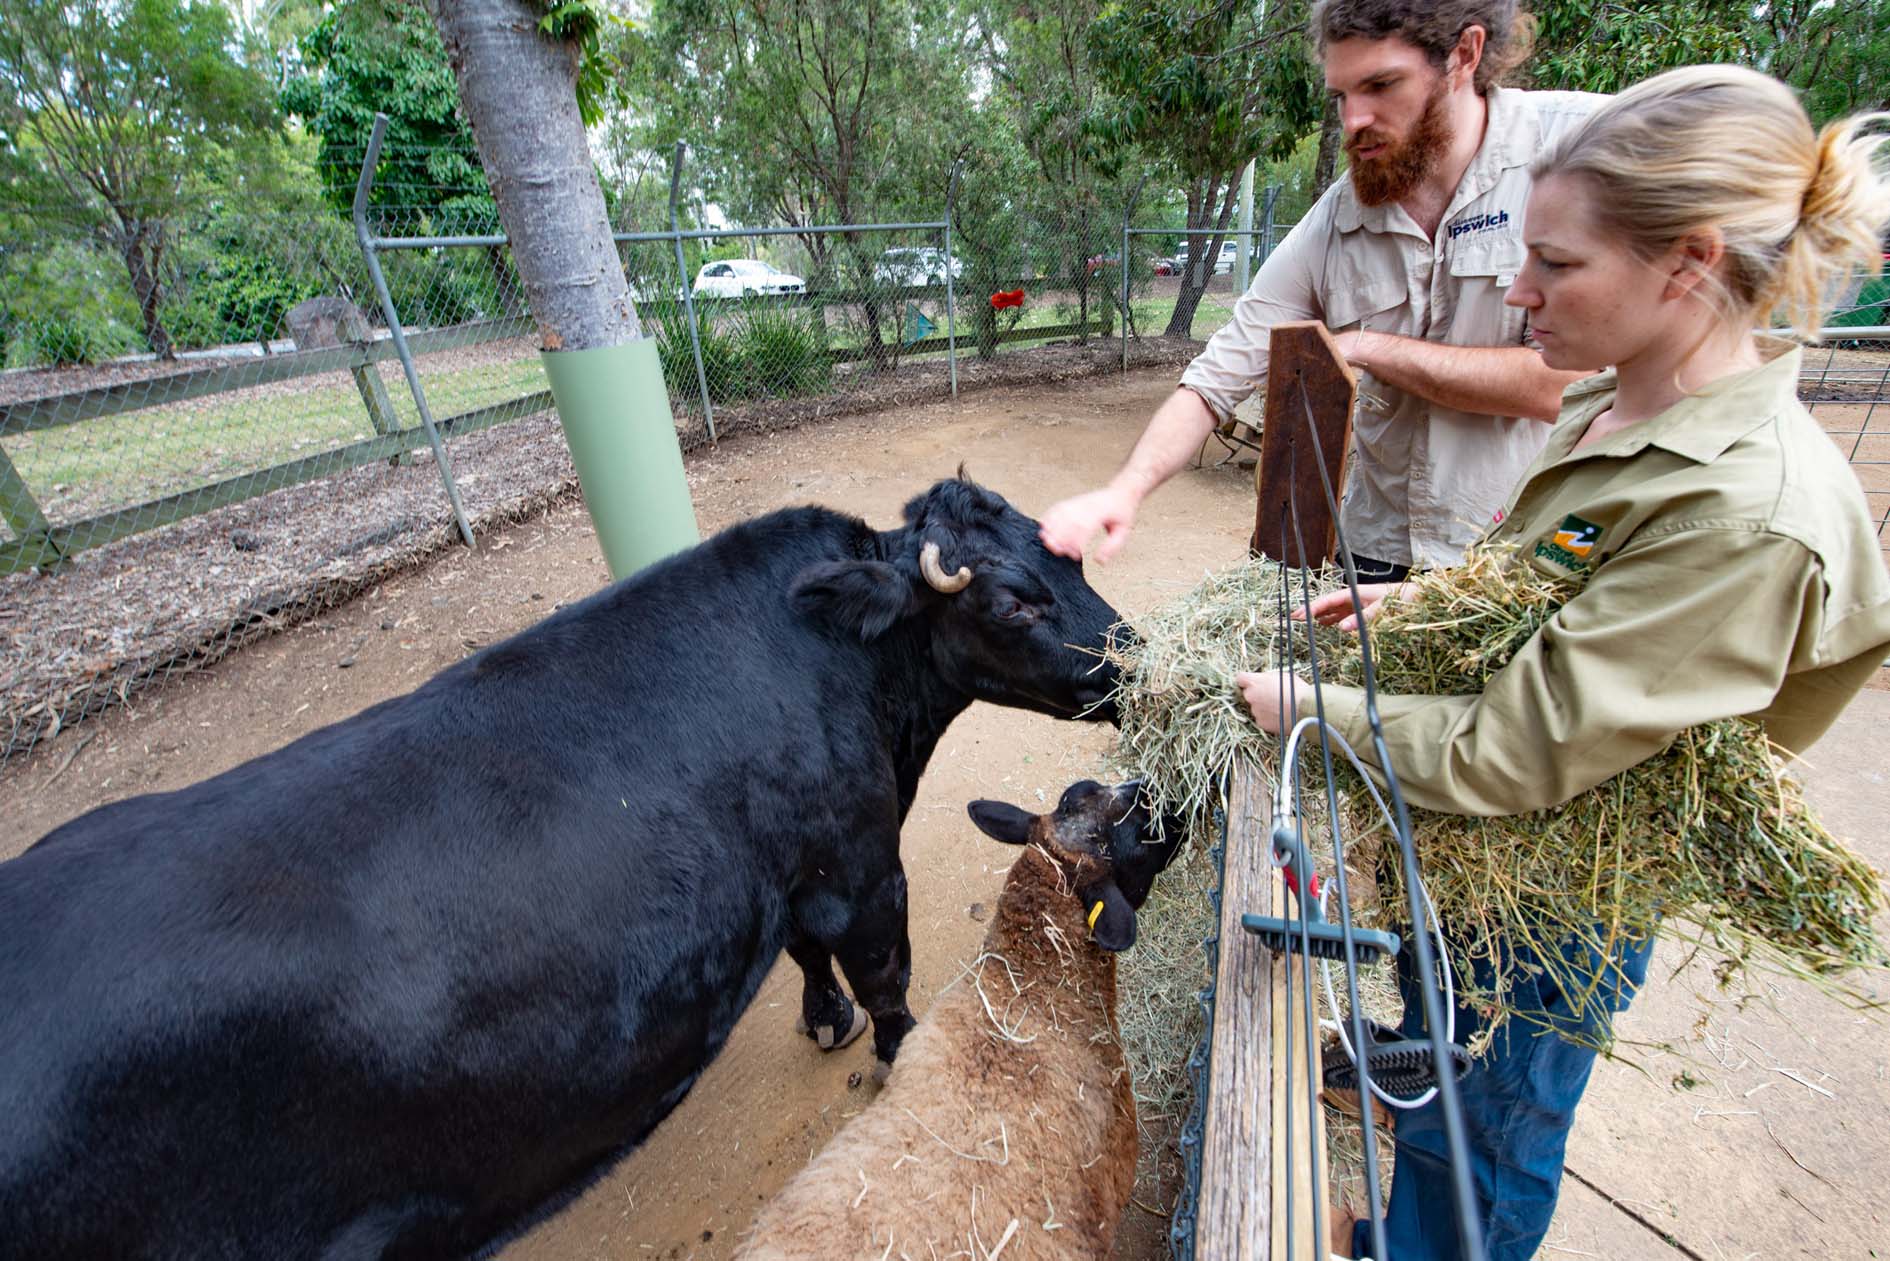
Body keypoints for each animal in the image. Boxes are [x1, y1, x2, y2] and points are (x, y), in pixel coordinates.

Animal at [0, 476, 1118, 1261]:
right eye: (1013, 602)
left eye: (1062, 550)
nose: (1133, 650)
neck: (866, 684)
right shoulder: (857, 860)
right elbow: (883, 973)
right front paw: (886, 1047)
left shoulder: (789, 872)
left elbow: (808, 959)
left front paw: (822, 1019)